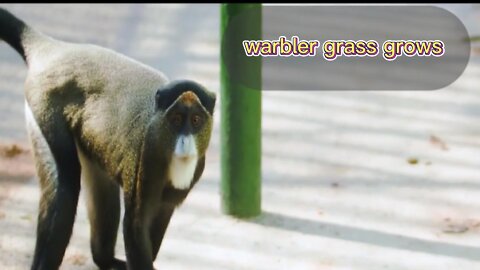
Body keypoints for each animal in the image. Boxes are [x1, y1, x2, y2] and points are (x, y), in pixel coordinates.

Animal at [0, 7, 216, 268]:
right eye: (175, 120)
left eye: (195, 120)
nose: (185, 142)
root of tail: (53, 49)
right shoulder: (144, 161)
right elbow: (135, 225)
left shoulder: (180, 188)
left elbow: (160, 218)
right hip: (43, 109)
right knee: (65, 186)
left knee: (103, 193)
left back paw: (104, 258)